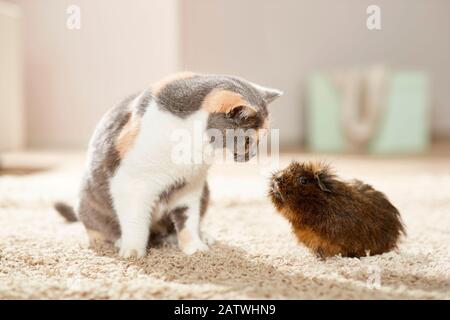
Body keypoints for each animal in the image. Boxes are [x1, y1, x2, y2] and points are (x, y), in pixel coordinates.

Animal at [54, 72, 282, 258]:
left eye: (262, 140)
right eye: (248, 140)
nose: (252, 155)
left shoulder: (190, 187)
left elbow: (188, 222)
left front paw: (194, 247)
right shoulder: (131, 185)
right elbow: (135, 222)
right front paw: (133, 252)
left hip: (205, 191)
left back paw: (199, 236)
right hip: (88, 198)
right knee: (96, 228)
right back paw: (116, 240)